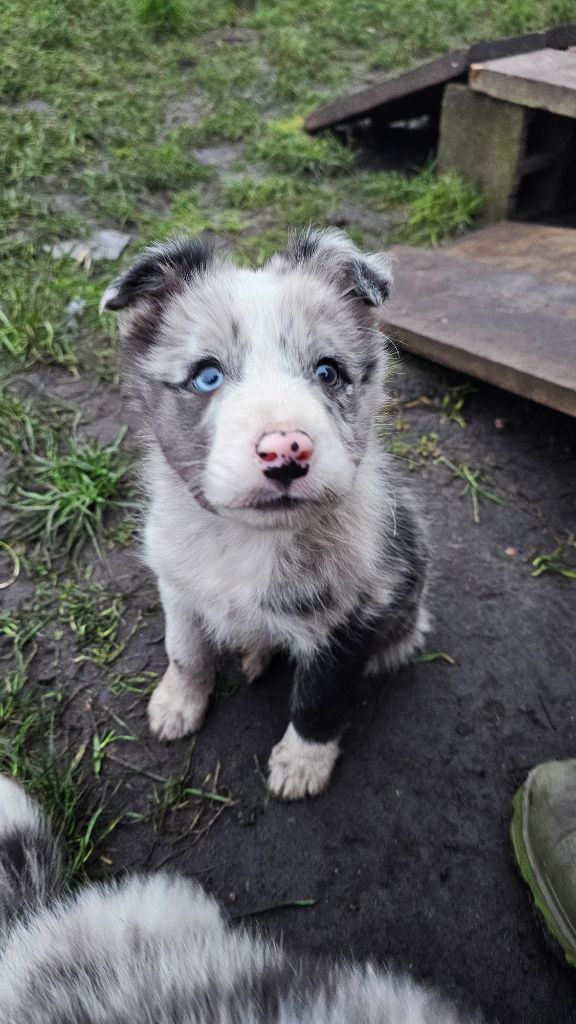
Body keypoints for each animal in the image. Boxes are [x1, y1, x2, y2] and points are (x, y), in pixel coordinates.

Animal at [100, 230, 428, 798]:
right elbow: (185, 650)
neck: (245, 538)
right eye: (207, 376)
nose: (286, 451)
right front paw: (177, 703)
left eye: (327, 371)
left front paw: (302, 763)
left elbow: (319, 698)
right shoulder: (176, 585)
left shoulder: (352, 615)